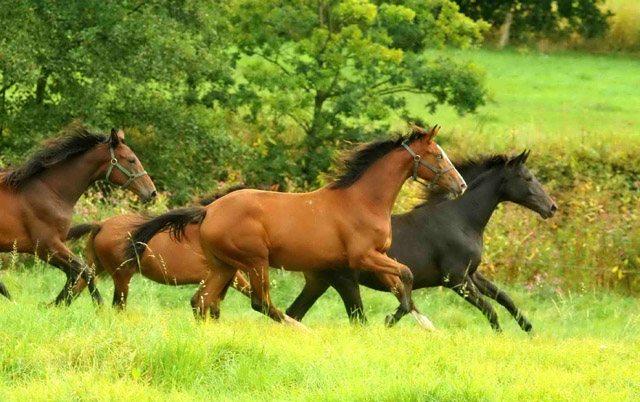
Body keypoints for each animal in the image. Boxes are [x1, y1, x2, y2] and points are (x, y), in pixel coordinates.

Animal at [0, 123, 155, 304]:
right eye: (131, 159)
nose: (152, 192)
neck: (50, 191)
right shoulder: (47, 245)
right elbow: (85, 271)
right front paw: (99, 305)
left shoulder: (49, 248)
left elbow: (74, 274)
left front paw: (54, 304)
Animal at [126, 125, 464, 326]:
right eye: (437, 154)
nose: (460, 185)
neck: (364, 201)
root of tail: (208, 210)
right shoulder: (362, 257)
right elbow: (404, 276)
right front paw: (393, 319)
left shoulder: (375, 258)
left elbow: (400, 282)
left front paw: (407, 318)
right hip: (254, 261)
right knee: (261, 304)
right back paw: (302, 330)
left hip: (224, 265)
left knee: (201, 301)